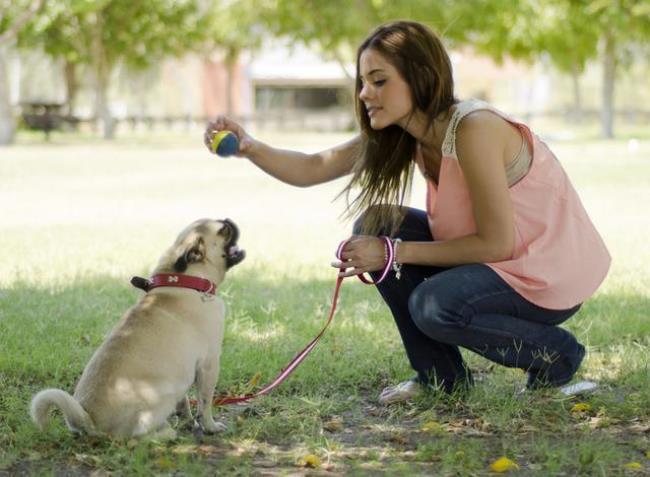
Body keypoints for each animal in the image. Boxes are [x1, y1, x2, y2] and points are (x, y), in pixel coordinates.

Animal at [29, 218, 244, 436]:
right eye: (224, 230)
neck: (186, 281)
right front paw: (209, 426)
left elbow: (185, 403)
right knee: (138, 436)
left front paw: (188, 421)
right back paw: (166, 434)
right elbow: (205, 402)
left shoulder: (185, 371)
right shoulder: (209, 364)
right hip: (163, 394)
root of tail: (90, 421)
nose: (229, 220)